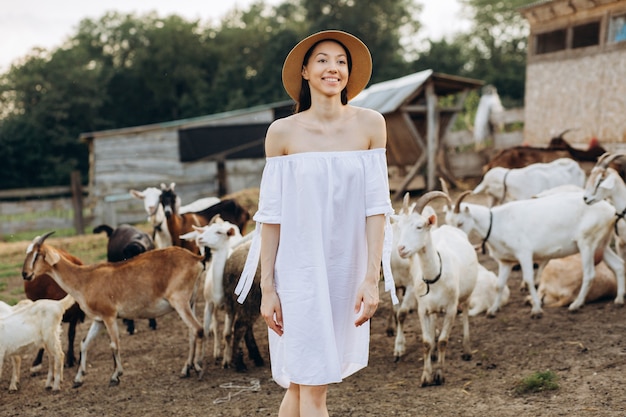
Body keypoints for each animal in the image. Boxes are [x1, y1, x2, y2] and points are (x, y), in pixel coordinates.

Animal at [20, 232, 206, 386]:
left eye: (37, 254)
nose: (25, 274)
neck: (85, 279)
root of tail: (195, 258)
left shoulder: (109, 316)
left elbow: (114, 345)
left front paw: (115, 376)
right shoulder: (98, 320)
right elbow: (84, 344)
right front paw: (78, 379)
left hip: (179, 301)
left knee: (198, 329)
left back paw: (198, 368)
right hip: (191, 302)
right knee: (192, 331)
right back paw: (186, 369)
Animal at [392, 190, 476, 386]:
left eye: (419, 226)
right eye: (400, 226)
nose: (401, 249)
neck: (435, 275)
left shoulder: (451, 309)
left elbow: (443, 341)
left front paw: (439, 375)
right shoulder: (423, 309)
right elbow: (426, 342)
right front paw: (425, 376)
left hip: (466, 296)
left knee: (465, 313)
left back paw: (467, 349)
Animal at [442, 187, 620, 316]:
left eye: (460, 222)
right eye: (447, 221)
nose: (452, 234)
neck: (497, 222)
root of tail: (610, 210)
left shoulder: (524, 254)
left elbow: (528, 280)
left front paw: (536, 311)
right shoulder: (505, 261)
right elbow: (499, 285)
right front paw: (493, 310)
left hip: (586, 243)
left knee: (589, 274)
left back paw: (575, 305)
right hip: (602, 244)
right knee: (618, 265)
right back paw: (619, 300)